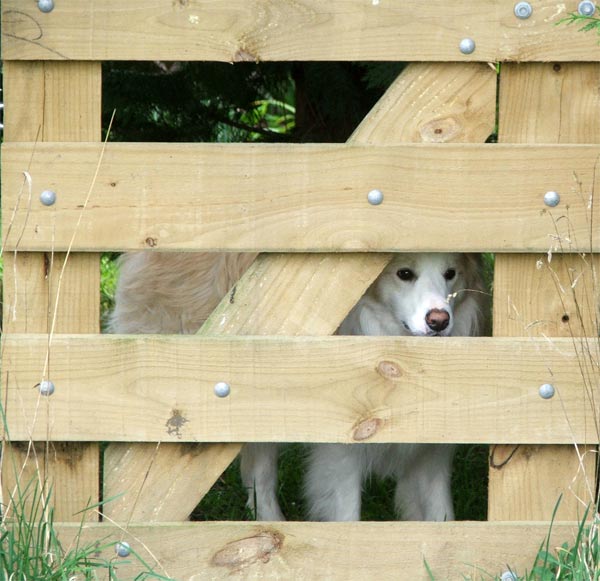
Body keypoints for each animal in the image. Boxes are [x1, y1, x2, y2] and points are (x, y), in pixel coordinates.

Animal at [110, 249, 490, 520]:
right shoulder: (340, 455)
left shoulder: (432, 457)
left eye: (450, 274)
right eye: (404, 274)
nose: (439, 321)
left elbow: (441, 520)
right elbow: (347, 517)